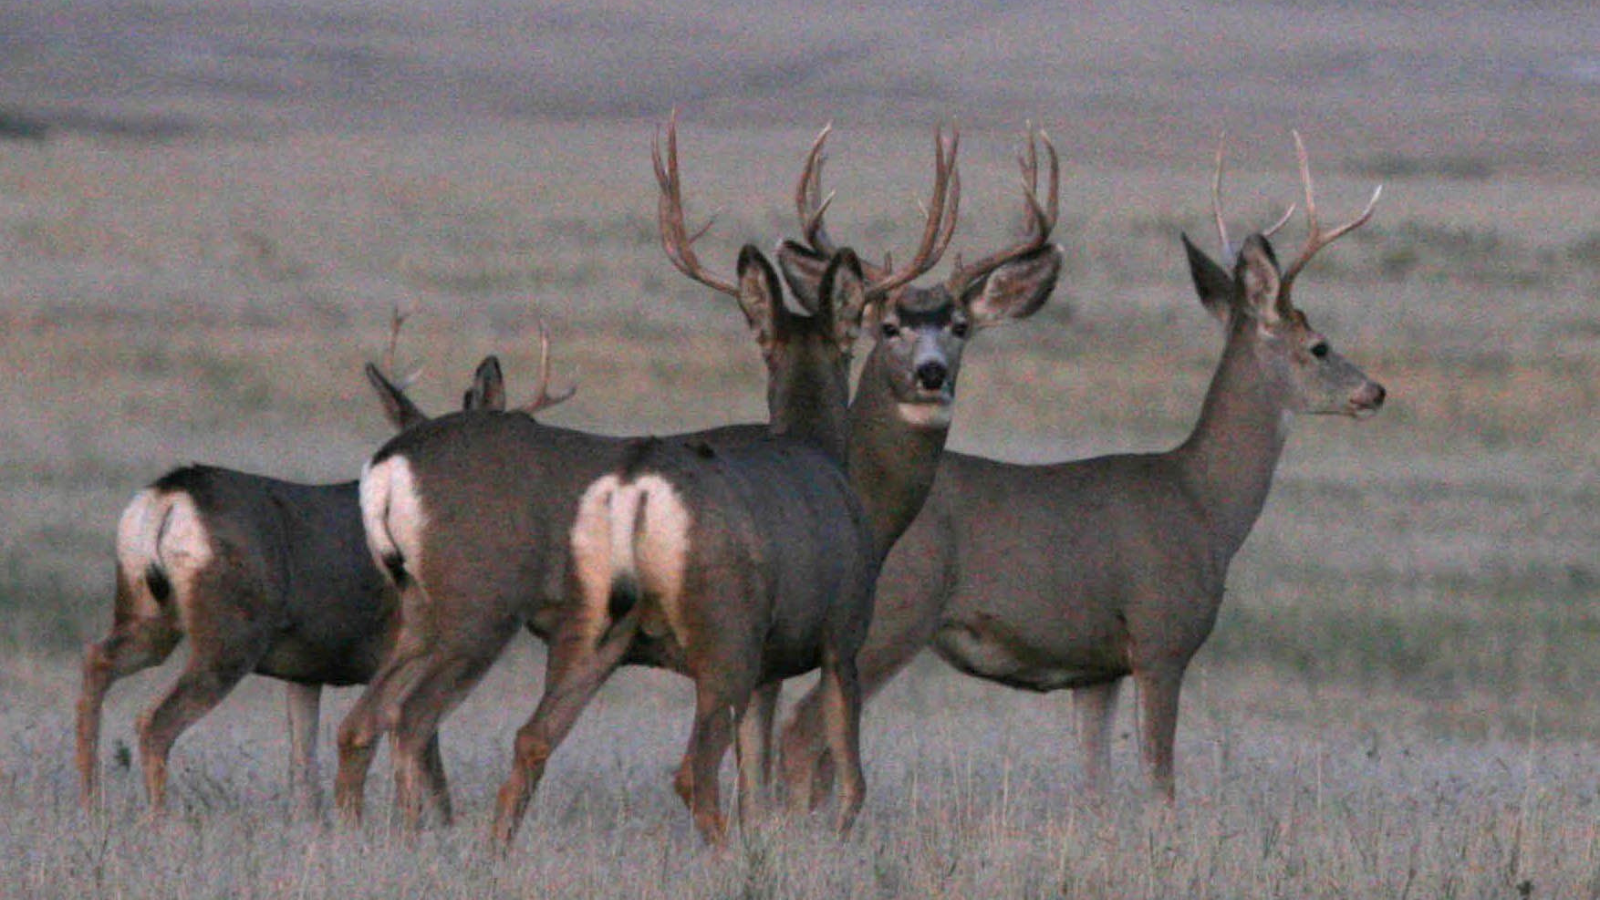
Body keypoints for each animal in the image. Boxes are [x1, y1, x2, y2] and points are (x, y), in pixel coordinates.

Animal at [74, 321, 569, 816]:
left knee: (97, 660)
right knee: (155, 721)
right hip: (231, 632)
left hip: (148, 614)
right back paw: (158, 821)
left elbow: (304, 772)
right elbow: (427, 769)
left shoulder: (305, 671)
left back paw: (91, 802)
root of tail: (169, 496)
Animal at [335, 121, 1064, 850]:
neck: (854, 482)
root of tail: (390, 463)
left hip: (460, 614)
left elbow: (754, 780)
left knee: (386, 724)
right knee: (417, 722)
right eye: (888, 328)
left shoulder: (765, 657)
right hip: (486, 602)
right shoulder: (831, 636)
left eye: (961, 327)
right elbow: (821, 776)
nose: (932, 375)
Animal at [777, 132, 1387, 808]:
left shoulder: (1096, 668)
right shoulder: (1161, 636)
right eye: (1320, 347)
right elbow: (1160, 782)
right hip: (889, 616)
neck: (1203, 504)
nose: (1375, 391)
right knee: (802, 734)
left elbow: (1097, 784)